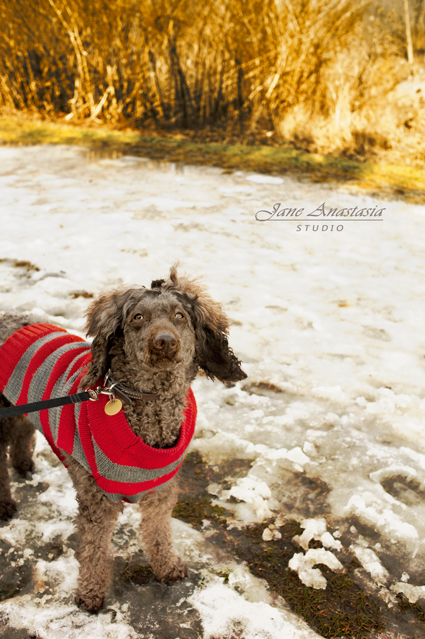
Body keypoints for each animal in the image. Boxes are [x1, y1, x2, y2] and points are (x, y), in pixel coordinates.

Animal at [0, 268, 245, 612]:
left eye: (180, 316)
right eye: (138, 317)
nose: (164, 341)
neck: (148, 404)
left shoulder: (161, 491)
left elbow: (158, 532)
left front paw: (167, 567)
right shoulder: (97, 500)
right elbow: (94, 550)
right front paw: (90, 593)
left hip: (22, 409)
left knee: (24, 431)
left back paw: (24, 464)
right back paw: (5, 504)